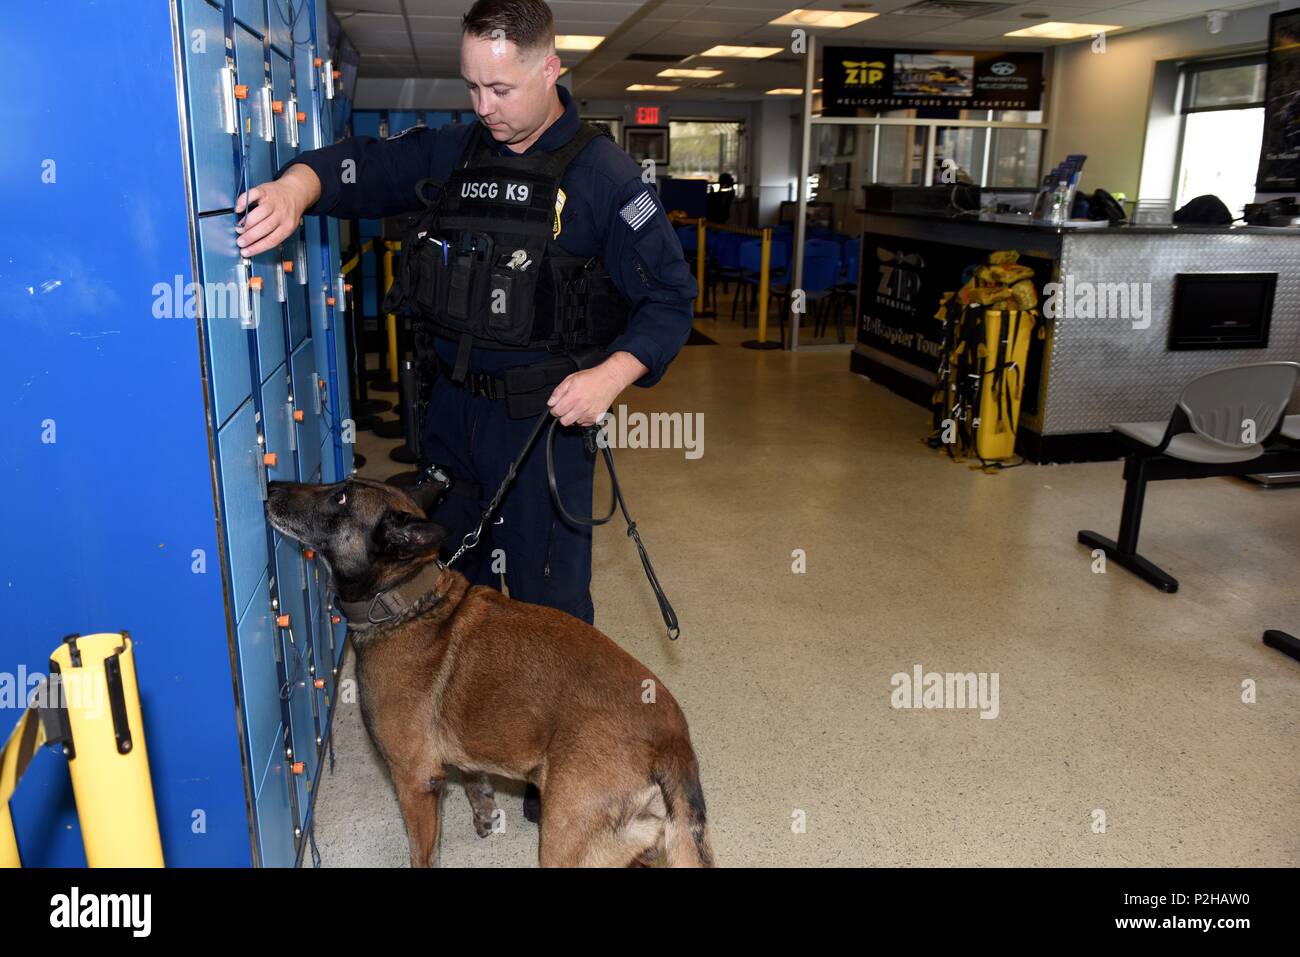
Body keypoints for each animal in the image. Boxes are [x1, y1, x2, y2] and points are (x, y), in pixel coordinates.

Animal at [262, 478, 712, 868]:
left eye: (340, 498)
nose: (272, 486)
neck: (405, 600)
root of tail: (671, 741)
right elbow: (475, 782)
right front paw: (485, 812)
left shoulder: (414, 781)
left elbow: (422, 854)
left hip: (564, 844)